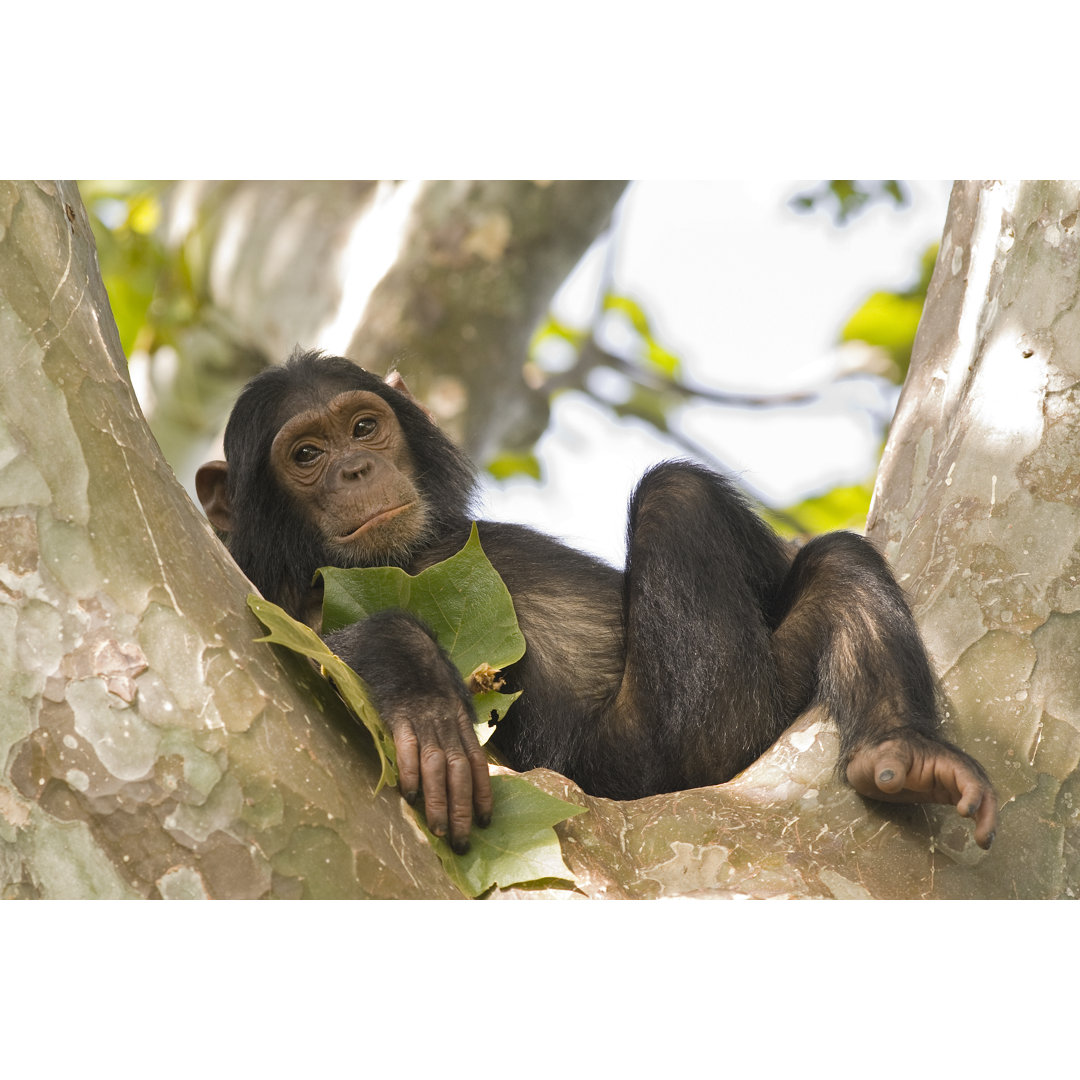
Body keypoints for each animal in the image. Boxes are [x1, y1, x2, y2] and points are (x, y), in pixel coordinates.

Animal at [196, 349, 993, 855]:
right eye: (306, 455)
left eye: (364, 427)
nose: (357, 468)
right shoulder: (279, 601)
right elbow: (303, 645)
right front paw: (422, 696)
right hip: (686, 749)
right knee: (678, 497)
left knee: (835, 567)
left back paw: (904, 751)